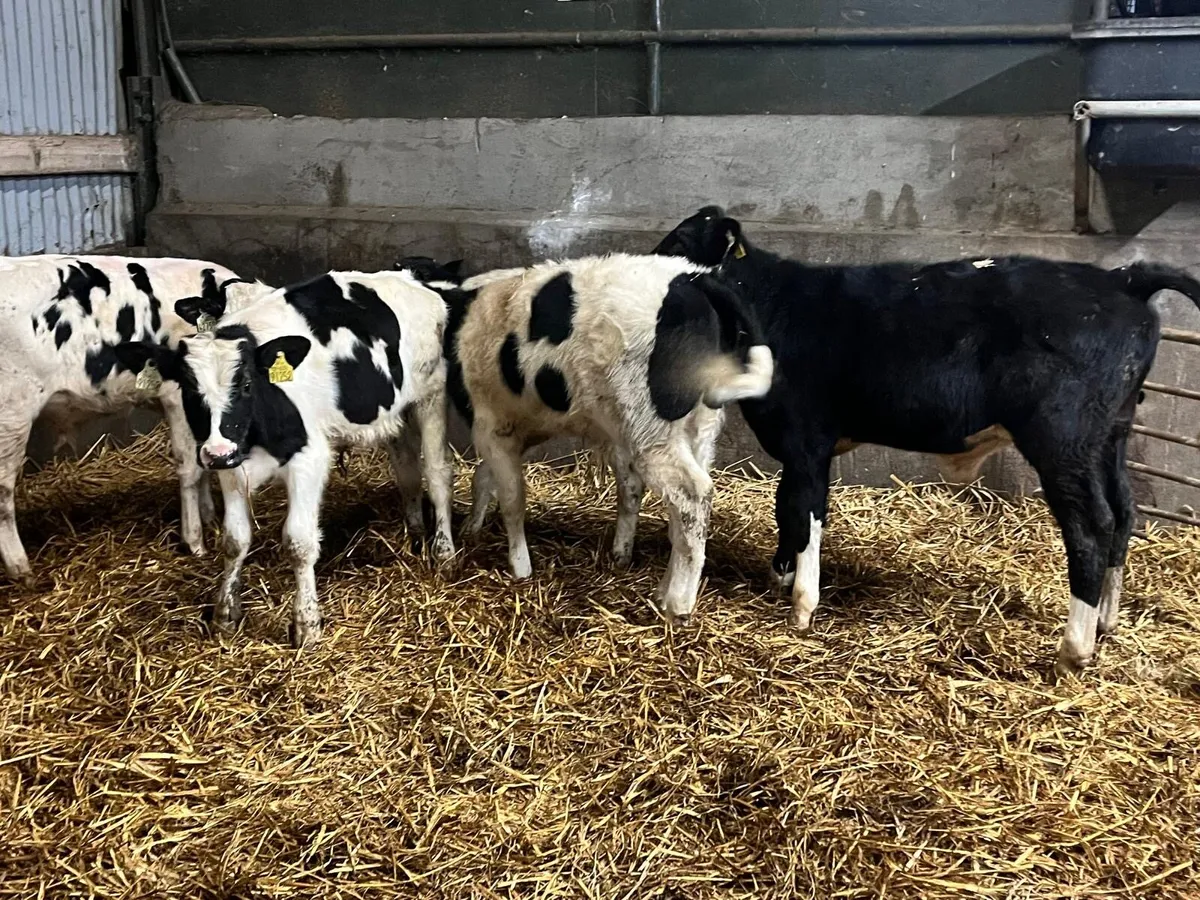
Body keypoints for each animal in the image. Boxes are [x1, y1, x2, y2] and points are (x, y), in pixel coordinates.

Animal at [0, 254, 266, 586]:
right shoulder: (176, 397)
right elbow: (190, 469)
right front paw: (194, 541)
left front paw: (208, 517)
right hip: (11, 416)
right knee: (3, 495)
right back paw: (21, 569)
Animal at [113, 269, 455, 648]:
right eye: (189, 389)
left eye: (246, 384)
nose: (217, 452)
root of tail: (410, 279)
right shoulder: (231, 464)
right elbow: (234, 540)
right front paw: (225, 614)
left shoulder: (309, 461)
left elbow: (299, 542)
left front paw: (306, 624)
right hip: (394, 412)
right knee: (407, 471)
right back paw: (415, 533)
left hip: (431, 395)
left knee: (437, 473)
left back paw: (443, 552)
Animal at [407, 253, 774, 624]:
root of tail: (695, 277)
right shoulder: (519, 425)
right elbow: (485, 479)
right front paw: (473, 528)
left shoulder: (492, 424)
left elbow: (511, 498)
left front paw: (520, 567)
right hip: (699, 427)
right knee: (682, 512)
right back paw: (663, 591)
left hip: (654, 431)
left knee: (692, 495)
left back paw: (677, 604)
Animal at [654, 206, 1200, 677]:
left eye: (680, 242)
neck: (775, 306)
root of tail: (1120, 279)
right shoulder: (800, 447)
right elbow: (787, 507)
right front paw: (781, 577)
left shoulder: (807, 438)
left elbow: (804, 511)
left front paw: (802, 608)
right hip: (1112, 435)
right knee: (1124, 512)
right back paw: (1107, 621)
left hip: (1063, 438)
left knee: (1092, 526)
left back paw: (1074, 648)